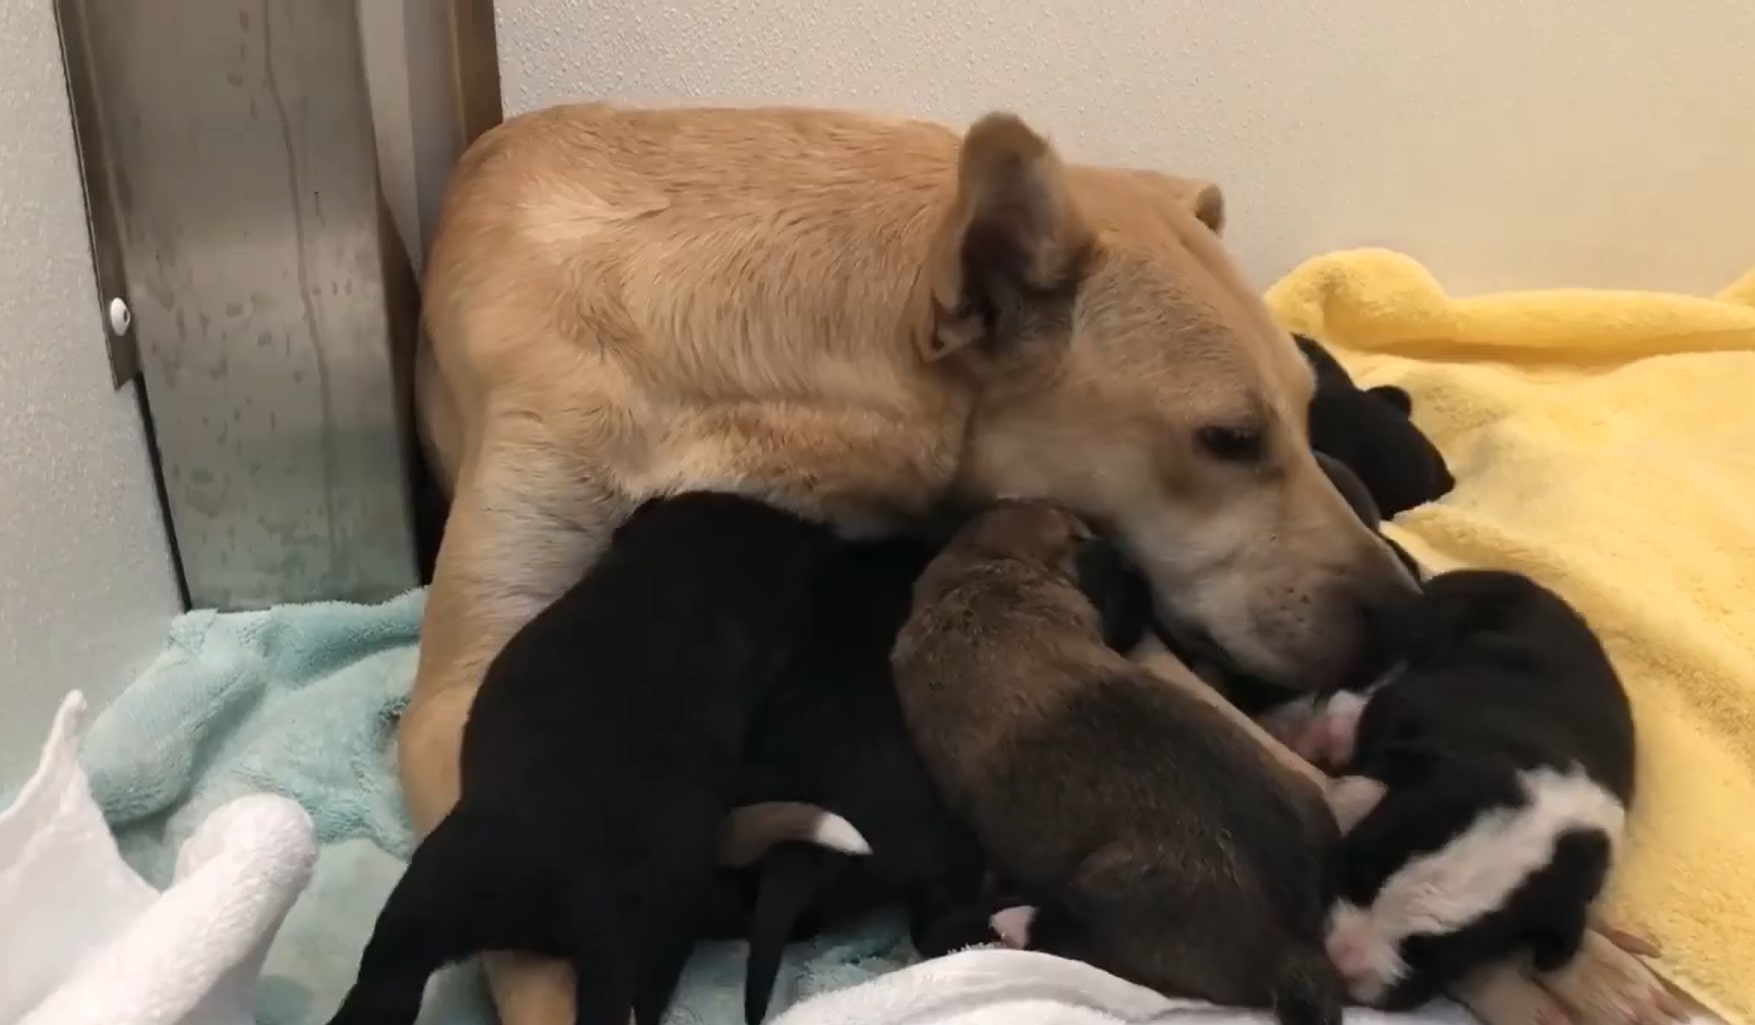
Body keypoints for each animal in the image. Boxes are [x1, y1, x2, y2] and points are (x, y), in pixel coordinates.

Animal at [891, 501, 1340, 1025]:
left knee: (1080, 945)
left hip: (1102, 886)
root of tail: (1296, 945)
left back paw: (1015, 921)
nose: (1143, 585)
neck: (987, 567)